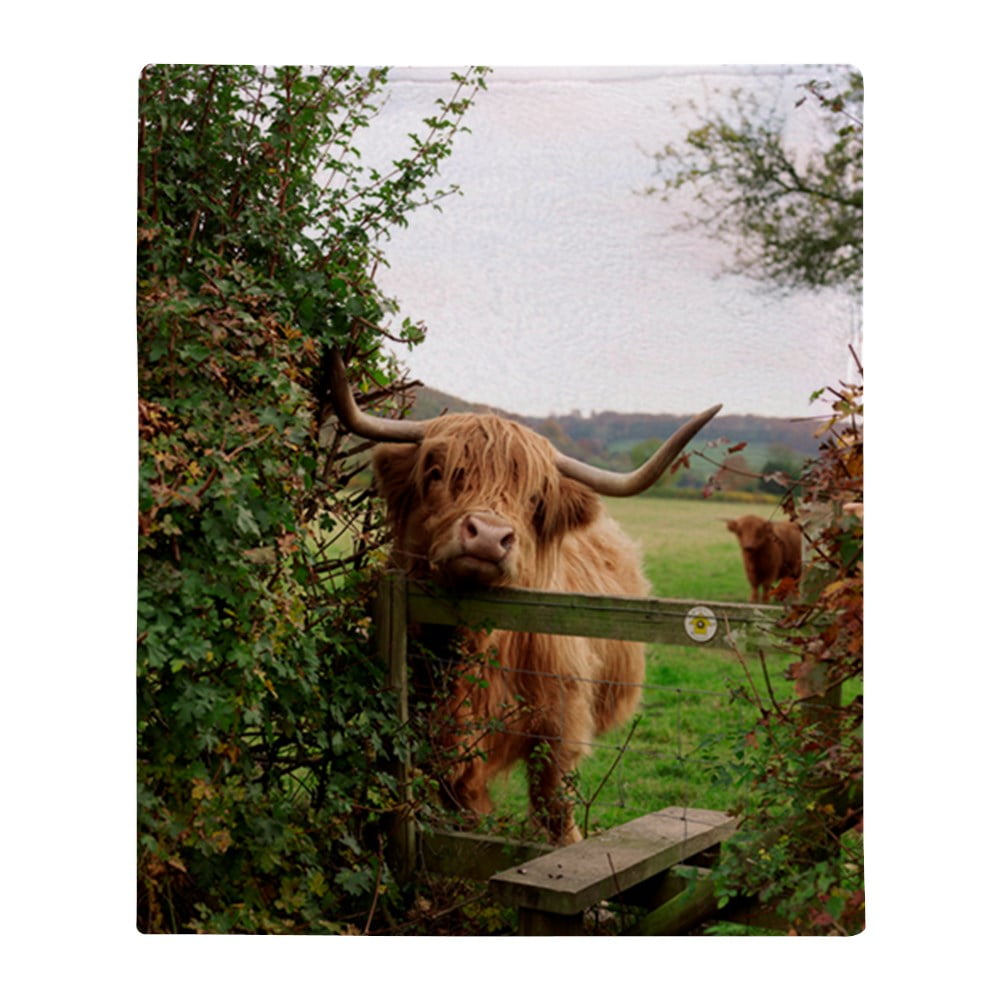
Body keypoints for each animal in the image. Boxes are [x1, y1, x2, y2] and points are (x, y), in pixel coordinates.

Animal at [330, 348, 721, 845]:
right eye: (437, 473)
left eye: (534, 499)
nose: (487, 535)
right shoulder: (440, 746)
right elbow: (470, 820)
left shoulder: (560, 732)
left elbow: (556, 812)